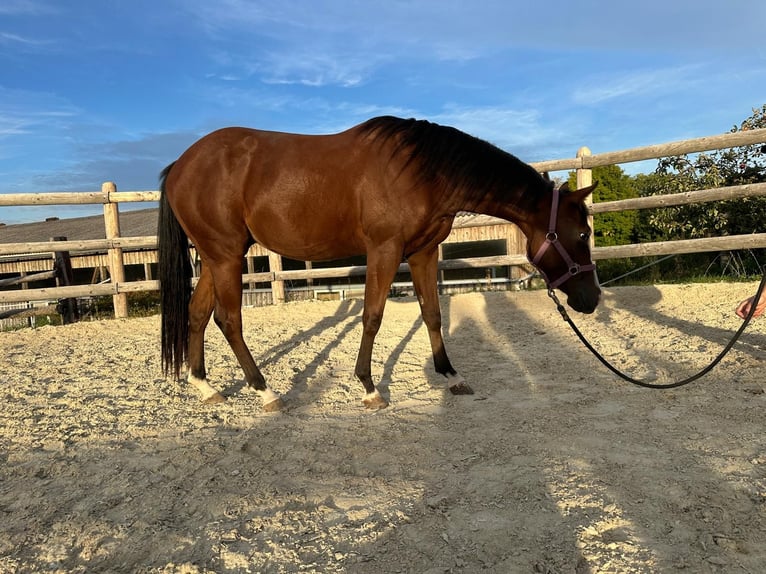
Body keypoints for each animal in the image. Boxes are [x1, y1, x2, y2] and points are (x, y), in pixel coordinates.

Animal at [157, 116, 600, 411]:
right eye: (582, 235)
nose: (592, 299)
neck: (422, 172)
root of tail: (180, 166)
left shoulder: (423, 252)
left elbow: (433, 313)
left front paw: (451, 376)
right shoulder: (385, 250)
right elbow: (372, 316)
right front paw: (370, 388)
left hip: (216, 257)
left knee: (198, 314)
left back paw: (205, 387)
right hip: (226, 255)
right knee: (229, 319)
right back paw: (265, 392)